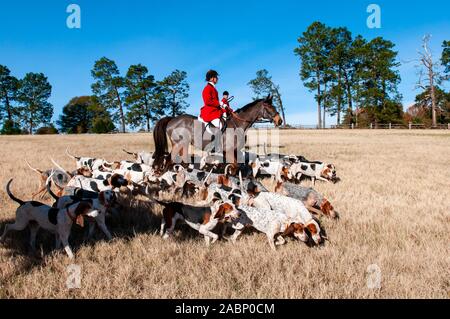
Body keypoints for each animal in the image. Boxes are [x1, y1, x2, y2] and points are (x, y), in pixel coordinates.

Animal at [153, 95, 284, 170]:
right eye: (269, 107)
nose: (280, 120)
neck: (238, 124)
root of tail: (172, 119)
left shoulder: (234, 151)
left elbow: (235, 166)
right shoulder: (229, 150)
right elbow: (234, 166)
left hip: (183, 144)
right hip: (178, 143)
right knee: (169, 159)